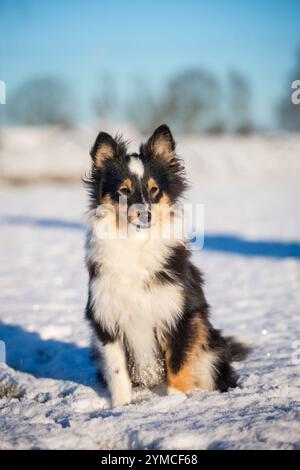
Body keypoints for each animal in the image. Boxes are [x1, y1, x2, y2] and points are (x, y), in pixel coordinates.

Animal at [84, 125, 248, 408]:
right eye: (124, 190)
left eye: (154, 190)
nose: (146, 215)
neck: (135, 244)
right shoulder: (106, 318)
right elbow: (117, 372)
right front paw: (122, 408)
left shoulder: (180, 315)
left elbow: (177, 363)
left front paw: (175, 402)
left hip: (211, 352)